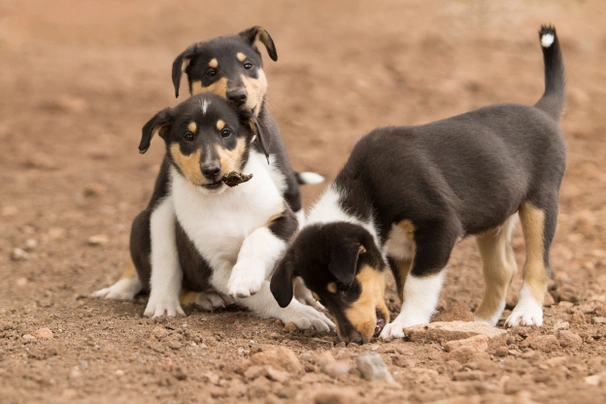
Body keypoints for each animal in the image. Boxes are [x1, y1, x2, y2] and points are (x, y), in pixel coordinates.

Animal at [102, 93, 334, 330]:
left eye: (226, 133)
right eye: (188, 136)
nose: (211, 170)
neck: (226, 198)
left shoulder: (284, 217)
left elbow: (258, 238)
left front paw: (245, 276)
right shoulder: (214, 269)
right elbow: (265, 294)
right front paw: (302, 314)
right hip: (141, 223)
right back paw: (206, 298)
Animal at [270, 25, 568, 342]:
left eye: (345, 287)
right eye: (320, 297)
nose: (352, 340)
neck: (367, 195)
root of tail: (543, 111)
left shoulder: (439, 228)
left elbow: (417, 284)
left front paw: (405, 323)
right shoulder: (399, 249)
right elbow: (403, 287)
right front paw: (407, 321)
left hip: (540, 202)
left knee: (538, 264)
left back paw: (526, 314)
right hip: (495, 216)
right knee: (502, 269)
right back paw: (482, 321)